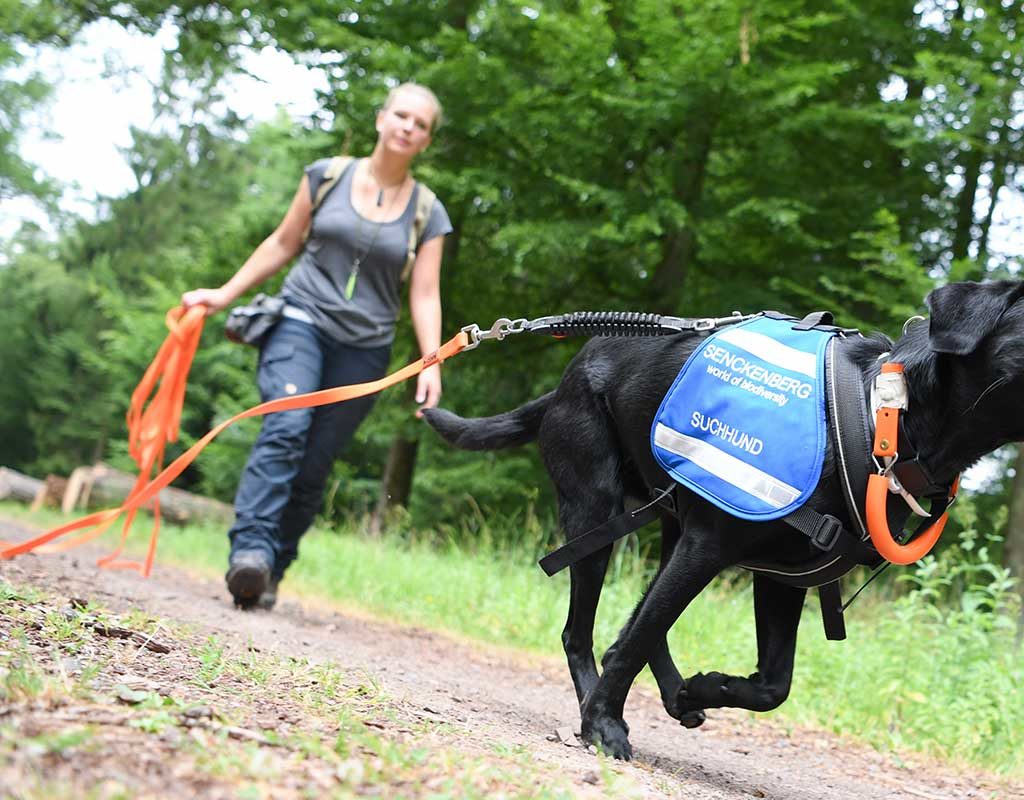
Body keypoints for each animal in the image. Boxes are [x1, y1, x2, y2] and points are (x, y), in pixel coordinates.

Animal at [421, 282, 1024, 762]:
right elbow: (636, 641)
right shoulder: (711, 545)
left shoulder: (784, 576)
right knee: (583, 632)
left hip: (670, 527)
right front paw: (603, 724)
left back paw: (670, 693)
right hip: (597, 512)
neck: (884, 413)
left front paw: (699, 688)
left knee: (643, 622)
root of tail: (565, 382)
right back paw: (596, 703)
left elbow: (772, 686)